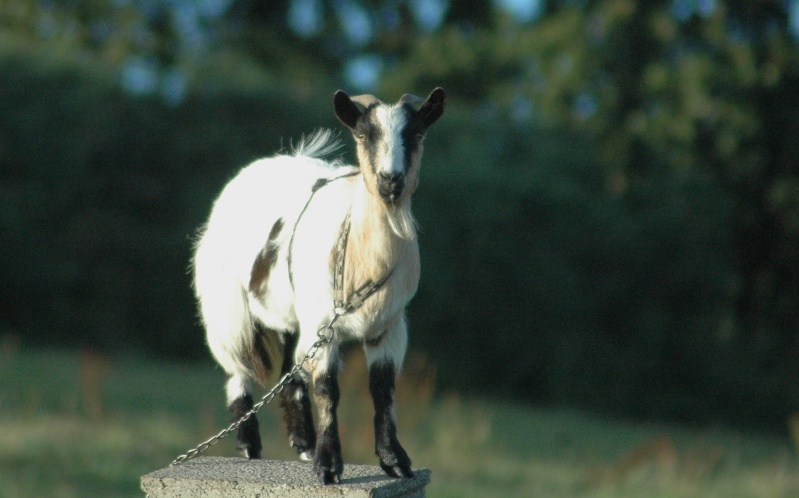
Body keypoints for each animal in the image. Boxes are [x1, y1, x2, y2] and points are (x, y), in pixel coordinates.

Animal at [191, 86, 446, 482]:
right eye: (362, 135)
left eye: (417, 134)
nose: (390, 180)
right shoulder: (323, 325)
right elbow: (327, 389)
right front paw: (329, 467)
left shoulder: (390, 325)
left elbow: (383, 389)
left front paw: (395, 461)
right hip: (226, 303)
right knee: (237, 367)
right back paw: (249, 444)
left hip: (292, 314)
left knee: (289, 370)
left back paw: (303, 443)